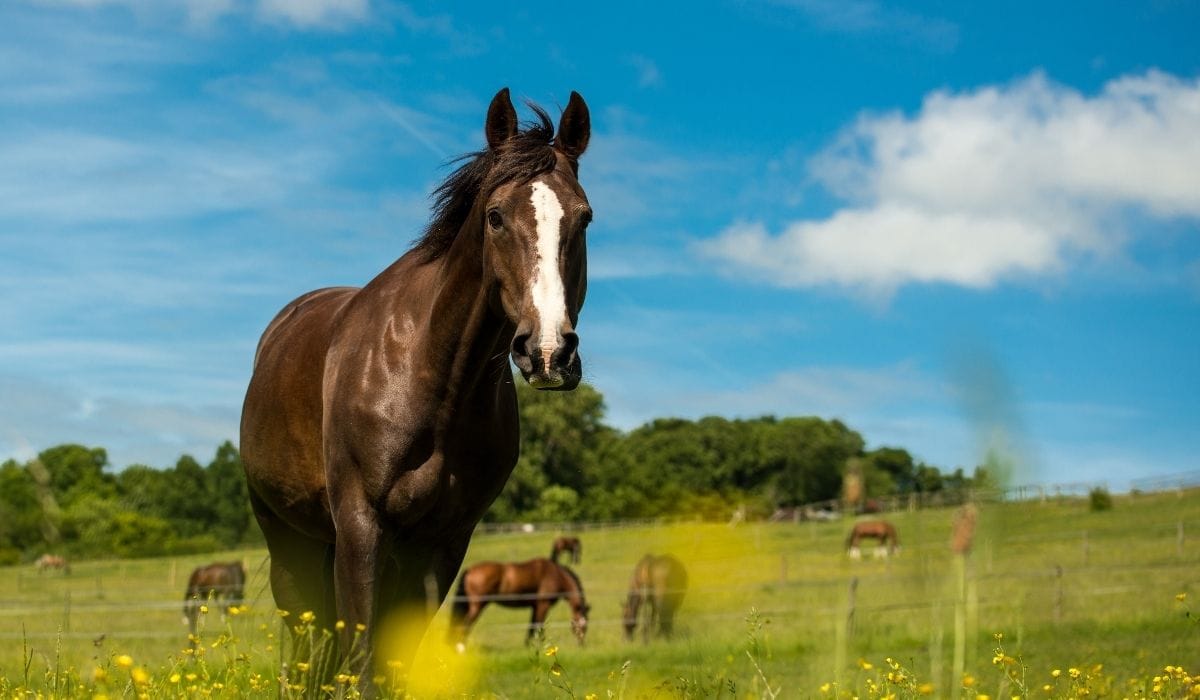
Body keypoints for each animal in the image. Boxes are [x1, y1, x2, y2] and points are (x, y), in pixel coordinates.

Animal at [448, 558, 590, 651]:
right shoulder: (543, 605)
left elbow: (532, 626)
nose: (582, 644)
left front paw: (527, 645)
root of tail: (470, 570)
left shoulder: (535, 606)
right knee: (465, 624)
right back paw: (461, 648)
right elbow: (539, 626)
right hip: (477, 606)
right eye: (583, 625)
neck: (556, 575)